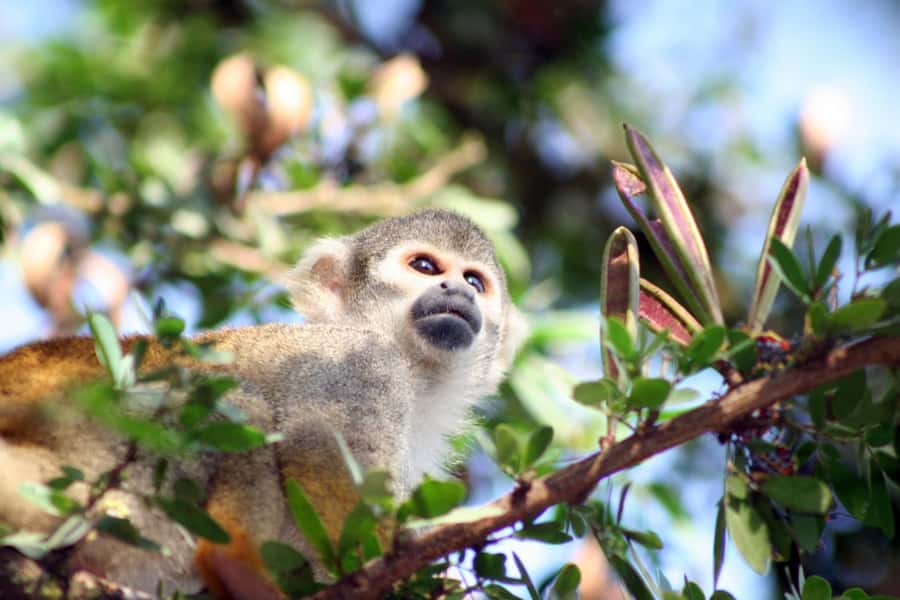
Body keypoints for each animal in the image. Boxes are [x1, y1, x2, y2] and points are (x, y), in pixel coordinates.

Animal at [0, 208, 527, 598]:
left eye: (475, 282)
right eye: (425, 267)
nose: (456, 290)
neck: (417, 375)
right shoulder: (360, 362)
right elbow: (320, 450)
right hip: (104, 470)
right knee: (240, 402)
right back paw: (235, 565)